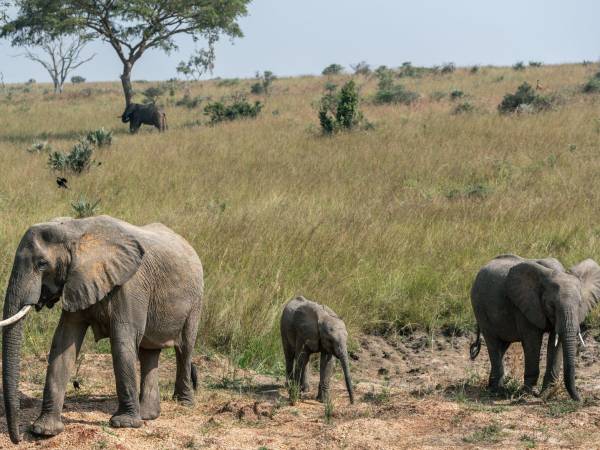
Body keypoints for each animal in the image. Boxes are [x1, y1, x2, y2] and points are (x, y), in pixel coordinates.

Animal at [0, 214, 204, 442]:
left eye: (42, 264)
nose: (17, 438)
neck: (76, 230)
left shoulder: (130, 284)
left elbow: (122, 341)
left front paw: (124, 424)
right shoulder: (77, 281)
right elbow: (63, 342)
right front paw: (43, 431)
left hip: (196, 299)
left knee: (184, 347)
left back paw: (183, 403)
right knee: (149, 352)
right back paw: (147, 415)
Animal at [468, 253, 600, 400]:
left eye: (579, 304)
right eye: (551, 305)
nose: (581, 400)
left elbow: (556, 342)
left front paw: (547, 393)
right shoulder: (525, 307)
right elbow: (532, 342)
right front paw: (528, 393)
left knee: (502, 345)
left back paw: (492, 387)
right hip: (480, 308)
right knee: (493, 342)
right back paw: (498, 391)